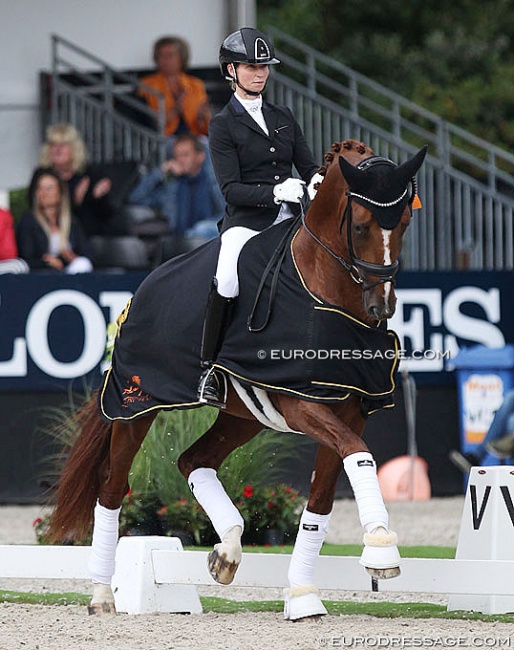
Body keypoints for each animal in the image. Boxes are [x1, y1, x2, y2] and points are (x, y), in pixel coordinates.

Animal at [48, 138, 424, 616]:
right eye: (359, 227)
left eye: (406, 222)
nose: (381, 306)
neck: (324, 289)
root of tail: (142, 289)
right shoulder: (299, 404)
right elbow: (359, 454)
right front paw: (381, 549)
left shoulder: (350, 408)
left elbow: (324, 498)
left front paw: (303, 595)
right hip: (137, 406)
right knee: (112, 488)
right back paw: (101, 595)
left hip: (243, 416)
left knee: (193, 461)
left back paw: (226, 551)